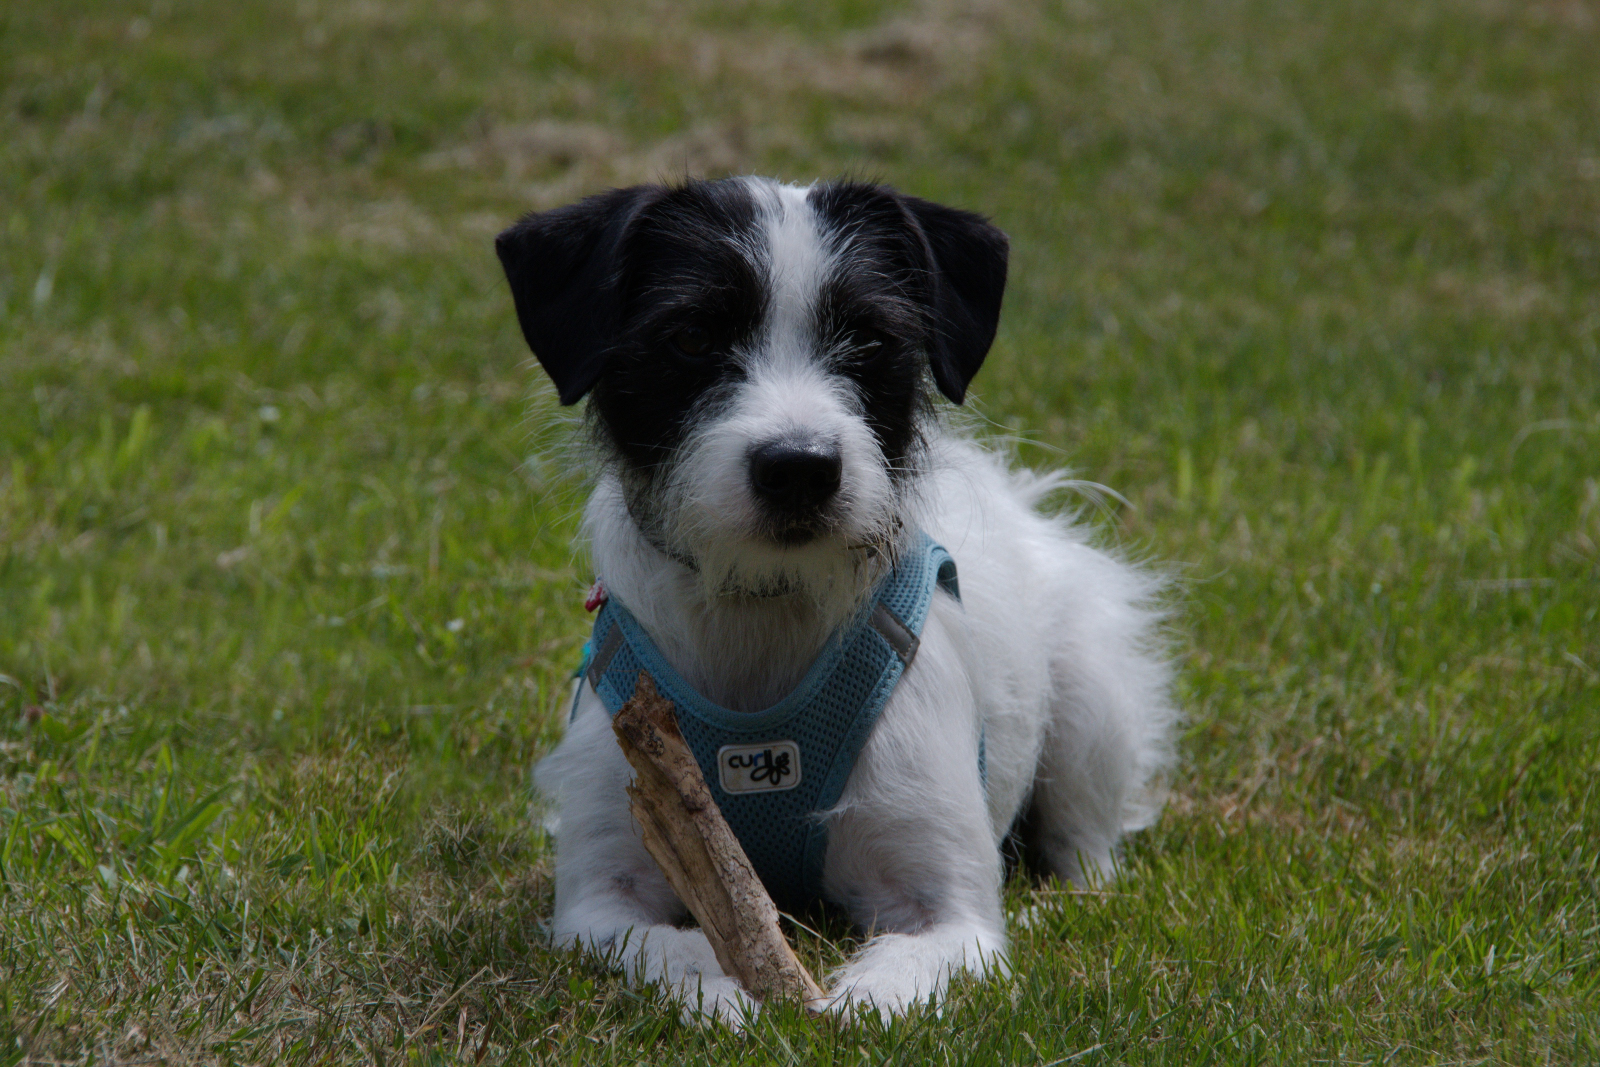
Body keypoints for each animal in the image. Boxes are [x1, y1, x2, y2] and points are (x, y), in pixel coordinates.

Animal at [496, 177, 1177, 1023]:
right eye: (690, 336)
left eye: (872, 339)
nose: (799, 466)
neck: (765, 602)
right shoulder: (600, 901)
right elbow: (667, 945)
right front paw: (719, 992)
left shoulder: (948, 913)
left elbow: (891, 983)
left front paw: (846, 1007)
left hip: (1091, 697)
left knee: (1089, 843)